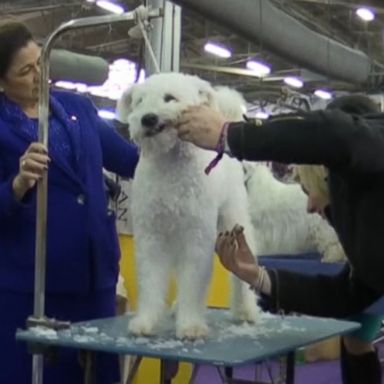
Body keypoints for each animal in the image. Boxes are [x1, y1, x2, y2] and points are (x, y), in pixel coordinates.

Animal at [117, 73, 260, 340]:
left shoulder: (196, 238)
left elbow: (192, 283)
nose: (148, 118)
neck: (170, 164)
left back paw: (246, 311)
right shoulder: (152, 238)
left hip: (233, 218)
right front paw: (146, 321)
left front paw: (191, 326)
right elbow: (151, 282)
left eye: (170, 98)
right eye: (140, 101)